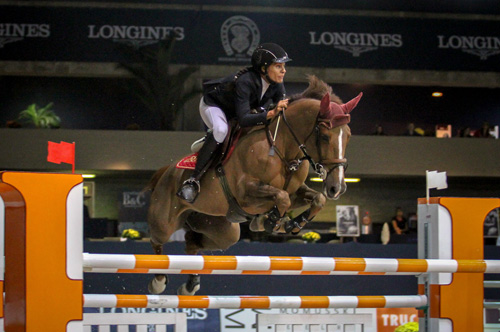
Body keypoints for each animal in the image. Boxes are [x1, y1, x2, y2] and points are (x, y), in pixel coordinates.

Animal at [146, 76, 362, 296]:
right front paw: (269, 221)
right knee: (157, 240)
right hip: (165, 221)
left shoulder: (295, 192)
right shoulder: (246, 193)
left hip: (220, 229)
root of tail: (167, 171)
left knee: (191, 243)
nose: (337, 187)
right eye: (325, 136)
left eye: (348, 135)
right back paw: (158, 281)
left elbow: (316, 198)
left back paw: (190, 286)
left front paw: (291, 223)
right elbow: (281, 197)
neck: (283, 148)